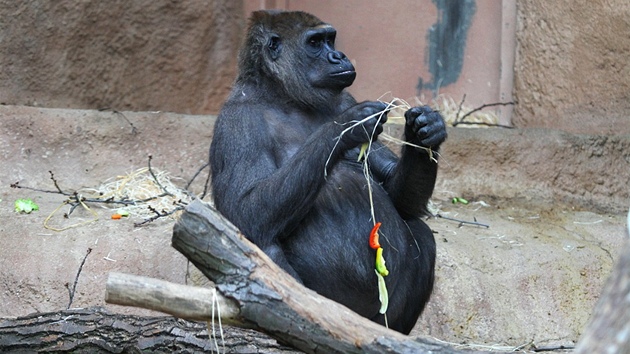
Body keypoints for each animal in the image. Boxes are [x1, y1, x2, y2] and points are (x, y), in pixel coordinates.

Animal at [210, 9, 446, 334]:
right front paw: (346, 126)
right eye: (314, 42)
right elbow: (245, 211)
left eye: (330, 39)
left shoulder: (345, 96)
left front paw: (425, 132)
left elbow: (399, 197)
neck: (282, 95)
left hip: (367, 317)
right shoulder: (237, 119)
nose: (339, 56)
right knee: (263, 245)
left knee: (421, 234)